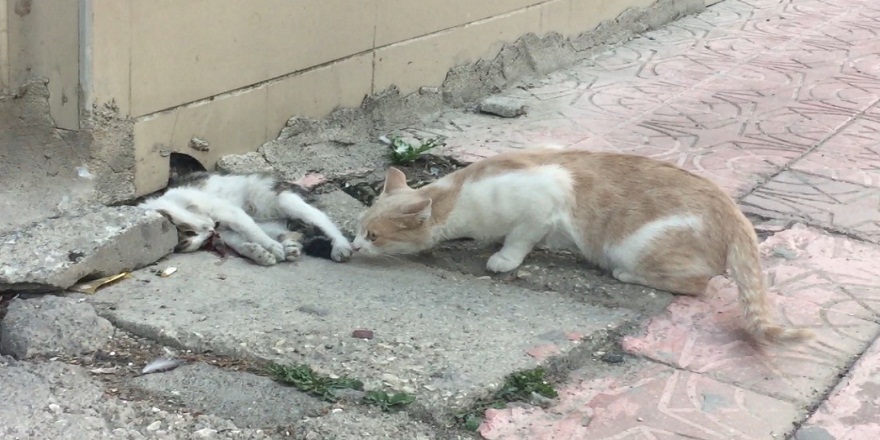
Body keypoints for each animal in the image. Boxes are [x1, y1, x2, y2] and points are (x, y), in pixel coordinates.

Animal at [141, 172, 354, 264]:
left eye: (191, 231)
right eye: (198, 241)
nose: (211, 232)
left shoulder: (227, 212)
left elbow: (250, 230)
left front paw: (270, 247)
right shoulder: (225, 231)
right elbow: (240, 241)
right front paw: (258, 252)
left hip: (282, 199)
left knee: (322, 219)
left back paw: (341, 245)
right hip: (273, 223)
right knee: (291, 234)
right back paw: (289, 246)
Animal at [350, 148, 812, 344]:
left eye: (373, 236)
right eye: (356, 229)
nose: (352, 249)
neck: (459, 195)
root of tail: (735, 214)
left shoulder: (542, 203)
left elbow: (518, 239)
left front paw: (502, 258)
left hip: (635, 247)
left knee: (700, 283)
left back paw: (624, 273)